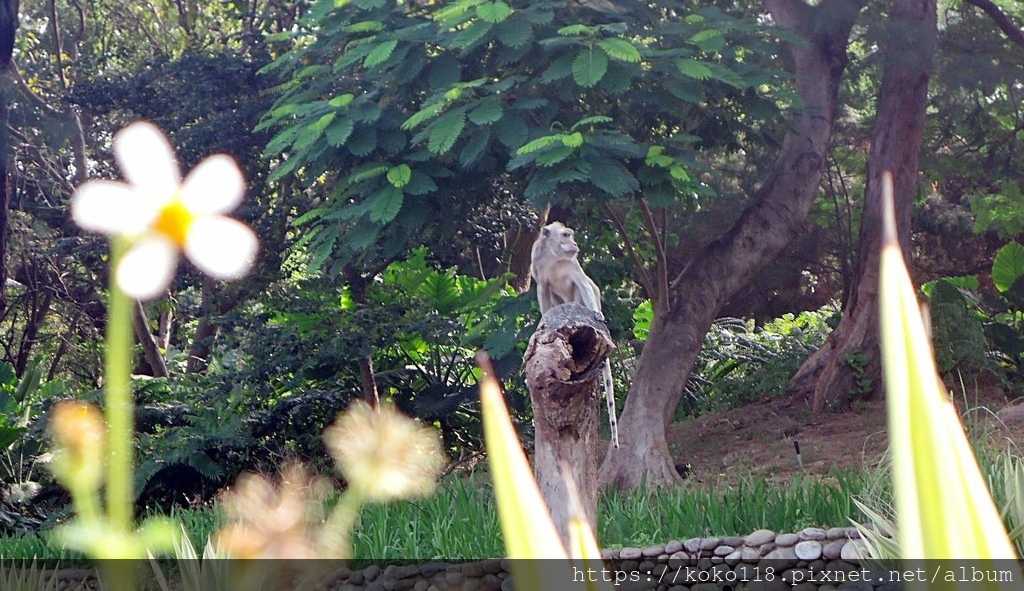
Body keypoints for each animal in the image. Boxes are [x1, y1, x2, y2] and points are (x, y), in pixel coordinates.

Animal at [532, 221, 618, 446]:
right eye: (565, 235)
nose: (574, 244)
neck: (554, 257)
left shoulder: (574, 265)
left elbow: (582, 283)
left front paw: (597, 314)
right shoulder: (538, 265)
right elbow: (543, 290)